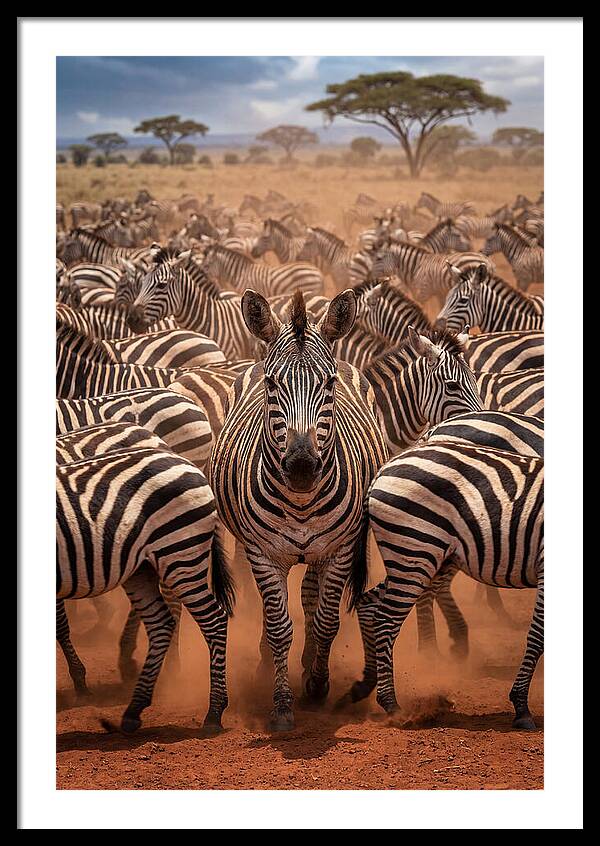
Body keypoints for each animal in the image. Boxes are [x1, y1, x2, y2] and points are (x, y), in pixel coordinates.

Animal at [57, 444, 235, 732]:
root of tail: (187, 463)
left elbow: (60, 625)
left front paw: (80, 683)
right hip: (143, 567)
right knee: (162, 622)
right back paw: (134, 708)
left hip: (179, 552)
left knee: (214, 620)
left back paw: (214, 712)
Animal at [209, 289, 389, 730]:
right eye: (273, 384)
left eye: (329, 384)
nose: (303, 467)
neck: (302, 502)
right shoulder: (262, 553)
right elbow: (278, 626)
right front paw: (282, 704)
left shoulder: (341, 549)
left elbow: (326, 620)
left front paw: (318, 684)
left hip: (324, 550)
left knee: (311, 594)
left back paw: (309, 664)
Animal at [352, 442, 543, 730]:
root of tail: (385, 467)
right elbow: (537, 636)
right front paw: (521, 707)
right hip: (415, 549)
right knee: (385, 620)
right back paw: (392, 705)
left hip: (416, 557)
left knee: (368, 604)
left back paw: (365, 683)